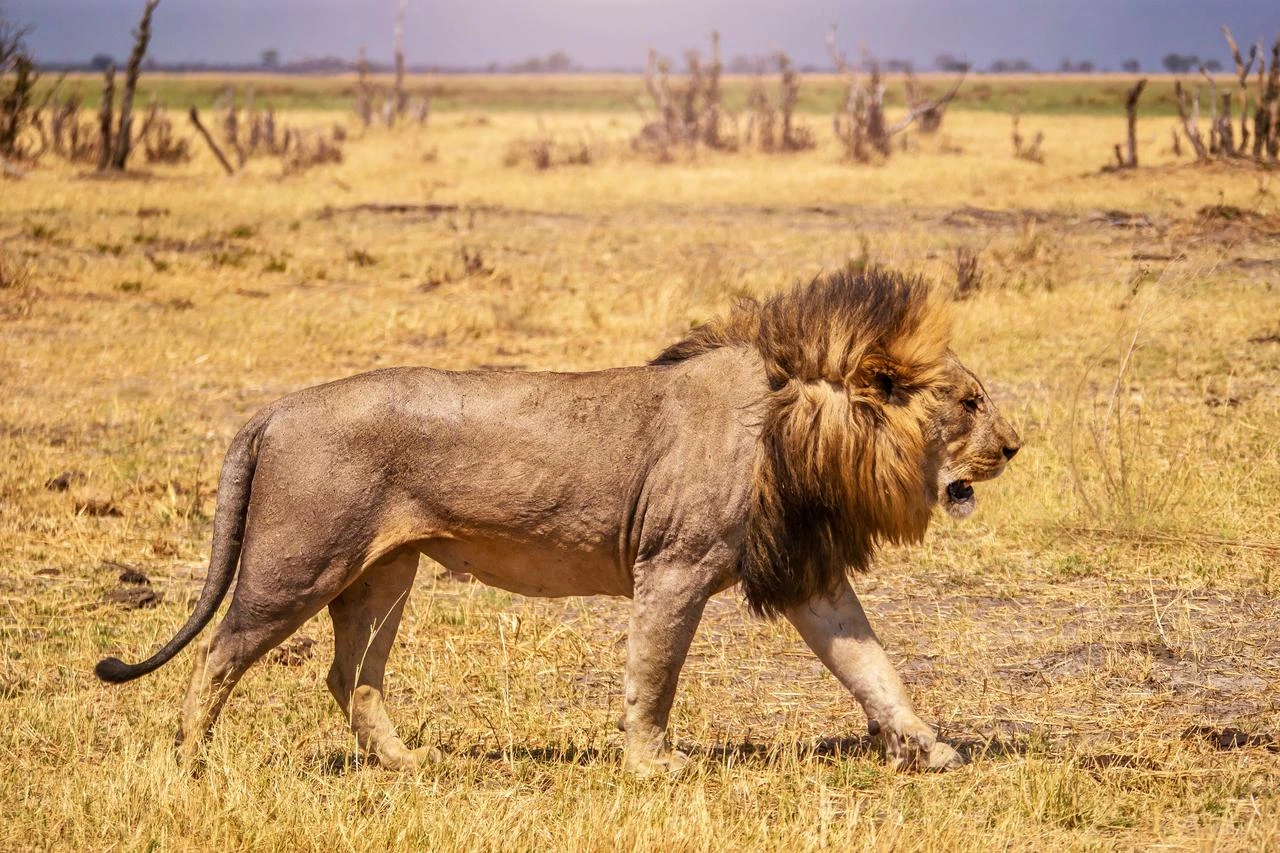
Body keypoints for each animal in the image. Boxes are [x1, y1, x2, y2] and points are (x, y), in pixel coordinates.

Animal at [95, 266, 1020, 776]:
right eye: (970, 402)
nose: (1015, 446)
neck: (806, 431)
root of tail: (275, 408)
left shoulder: (805, 572)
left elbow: (874, 667)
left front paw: (931, 748)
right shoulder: (673, 566)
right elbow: (655, 673)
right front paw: (652, 766)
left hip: (385, 572)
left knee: (350, 675)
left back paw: (407, 763)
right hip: (299, 564)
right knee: (219, 653)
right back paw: (191, 761)